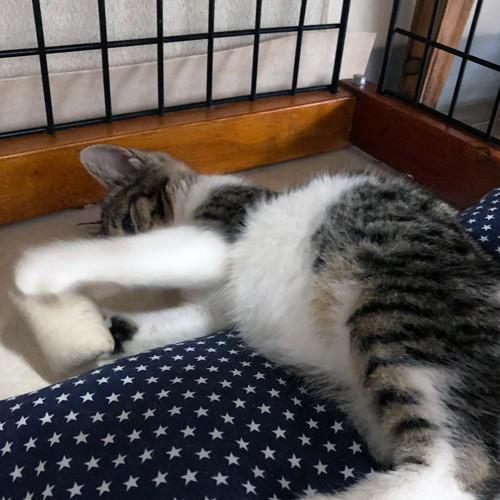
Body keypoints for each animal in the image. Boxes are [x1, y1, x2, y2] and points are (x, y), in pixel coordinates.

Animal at [15, 144, 500, 500]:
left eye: (131, 223)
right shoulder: (214, 306)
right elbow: (170, 320)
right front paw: (103, 334)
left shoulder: (216, 237)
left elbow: (139, 257)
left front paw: (39, 269)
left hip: (392, 309)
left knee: (452, 471)